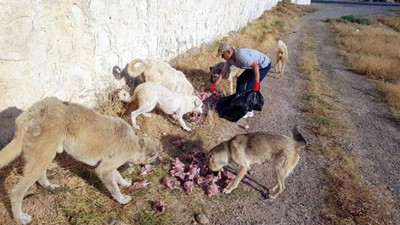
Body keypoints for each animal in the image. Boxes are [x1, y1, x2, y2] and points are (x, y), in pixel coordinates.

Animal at [0, 97, 159, 225]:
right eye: (155, 157)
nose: (161, 163)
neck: (134, 144)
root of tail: (30, 114)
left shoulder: (109, 165)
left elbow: (117, 176)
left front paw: (125, 182)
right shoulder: (104, 169)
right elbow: (114, 187)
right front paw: (121, 199)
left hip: (44, 155)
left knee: (40, 175)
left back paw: (49, 187)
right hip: (43, 154)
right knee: (16, 192)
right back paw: (19, 218)